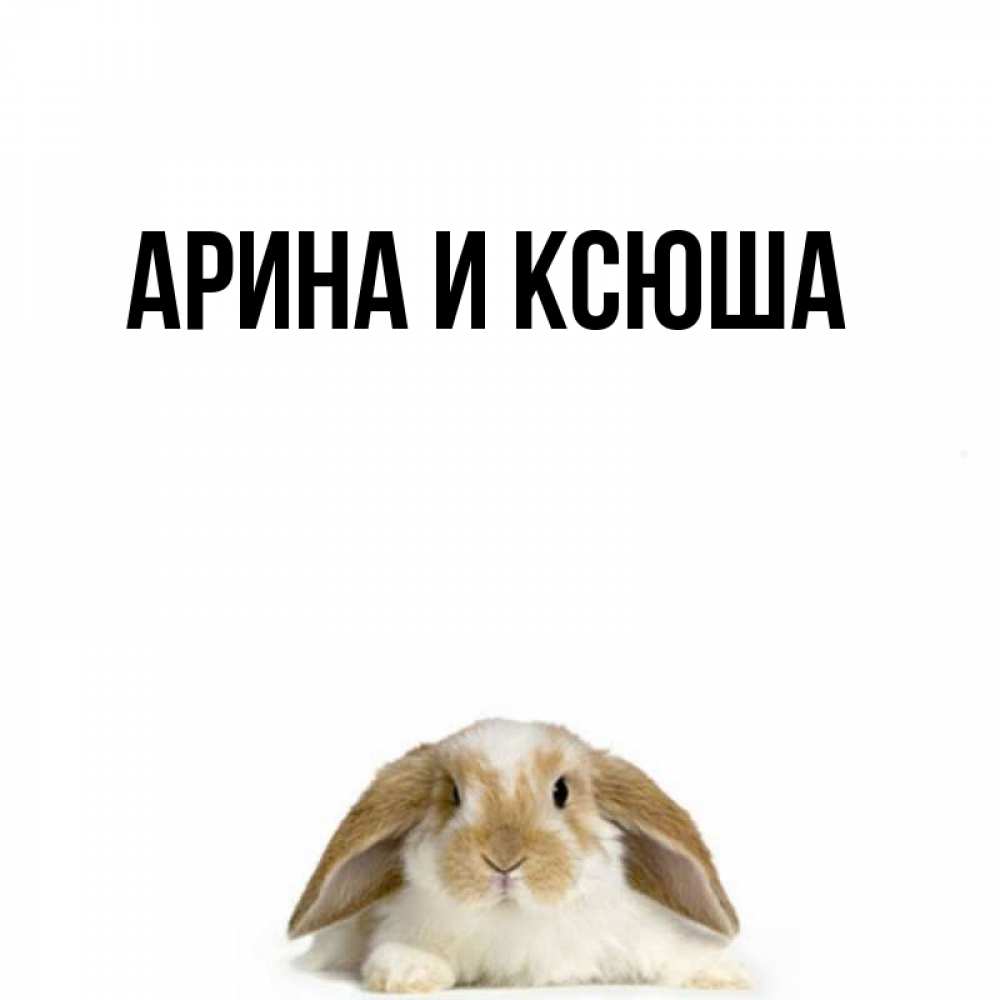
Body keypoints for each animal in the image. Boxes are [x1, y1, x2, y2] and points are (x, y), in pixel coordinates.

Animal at [288, 719, 750, 991]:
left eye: (561, 791)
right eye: (453, 795)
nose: (504, 859)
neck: (514, 919)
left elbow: (674, 950)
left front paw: (725, 973)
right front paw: (409, 973)